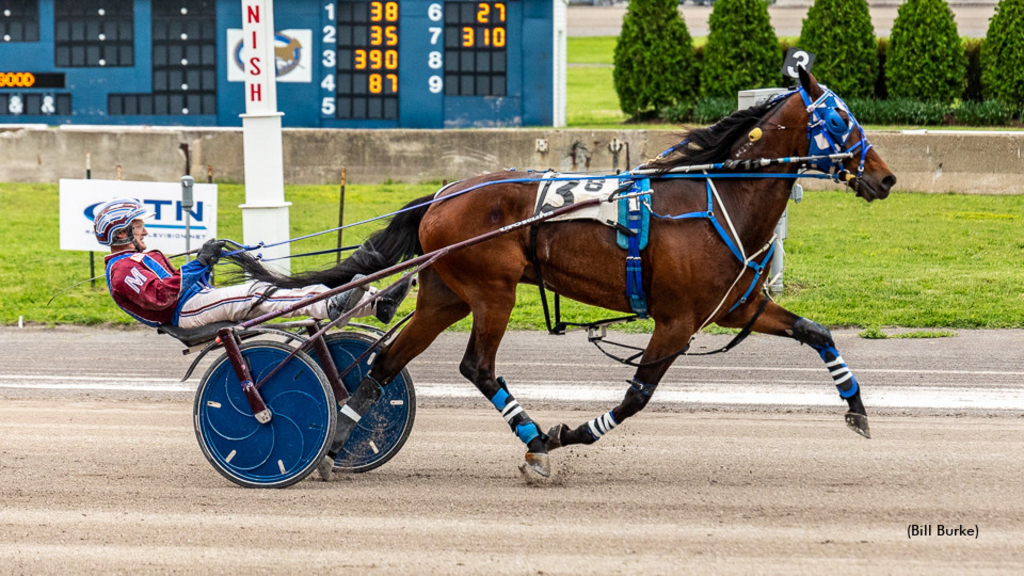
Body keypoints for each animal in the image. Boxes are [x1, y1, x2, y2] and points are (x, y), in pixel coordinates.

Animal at [235, 69, 892, 475]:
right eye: (842, 119)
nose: (884, 177)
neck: (713, 200)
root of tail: (444, 193)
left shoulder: (736, 306)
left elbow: (816, 333)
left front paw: (857, 409)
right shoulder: (675, 321)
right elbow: (636, 397)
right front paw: (569, 435)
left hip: (446, 296)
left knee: (385, 361)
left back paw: (339, 444)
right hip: (492, 293)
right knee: (477, 367)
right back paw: (533, 441)